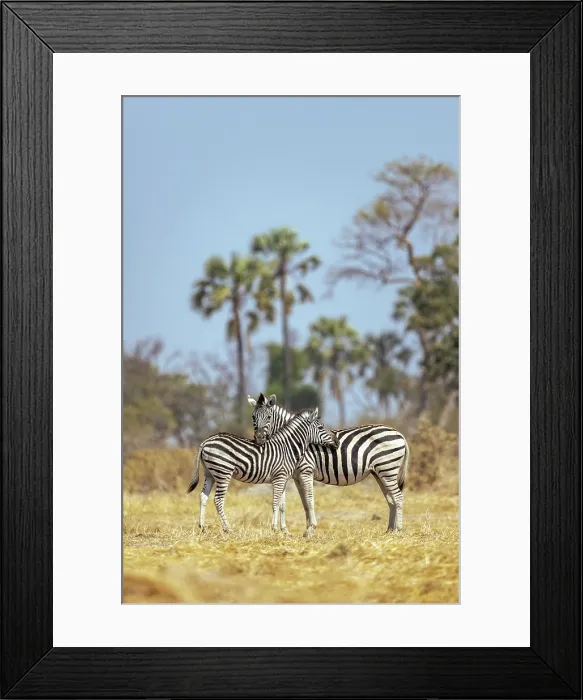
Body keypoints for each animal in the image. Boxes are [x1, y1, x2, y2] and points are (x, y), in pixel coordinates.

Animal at [187, 408, 337, 533]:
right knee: (218, 500)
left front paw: (285, 532)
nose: (336, 443)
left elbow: (282, 504)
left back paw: (203, 527)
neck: (287, 447)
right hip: (223, 472)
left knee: (203, 496)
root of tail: (206, 441)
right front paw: (274, 528)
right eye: (321, 427)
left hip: (210, 474)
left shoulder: (284, 479)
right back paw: (227, 529)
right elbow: (275, 502)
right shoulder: (279, 477)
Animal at [248, 393, 410, 536]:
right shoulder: (295, 476)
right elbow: (300, 503)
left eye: (269, 417)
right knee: (391, 499)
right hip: (380, 472)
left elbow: (309, 500)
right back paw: (390, 530)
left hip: (387, 469)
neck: (293, 441)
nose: (259, 439)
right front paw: (302, 530)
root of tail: (400, 434)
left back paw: (398, 530)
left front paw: (310, 530)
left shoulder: (306, 471)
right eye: (253, 417)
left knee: (398, 497)